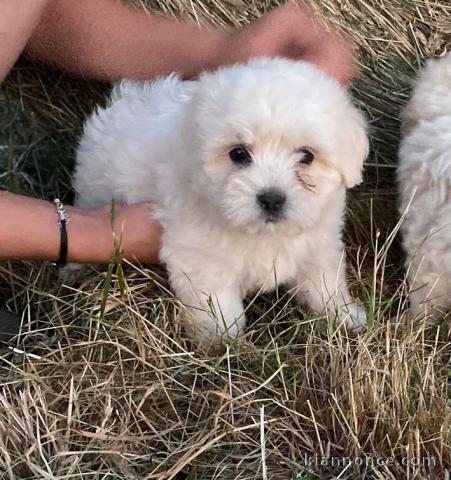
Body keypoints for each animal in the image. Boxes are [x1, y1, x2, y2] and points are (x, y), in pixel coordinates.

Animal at [75, 58, 370, 344]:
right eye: (238, 154)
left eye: (307, 156)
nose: (272, 199)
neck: (264, 234)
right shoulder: (200, 257)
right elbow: (217, 305)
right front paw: (223, 343)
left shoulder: (318, 244)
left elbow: (323, 283)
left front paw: (343, 315)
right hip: (92, 193)